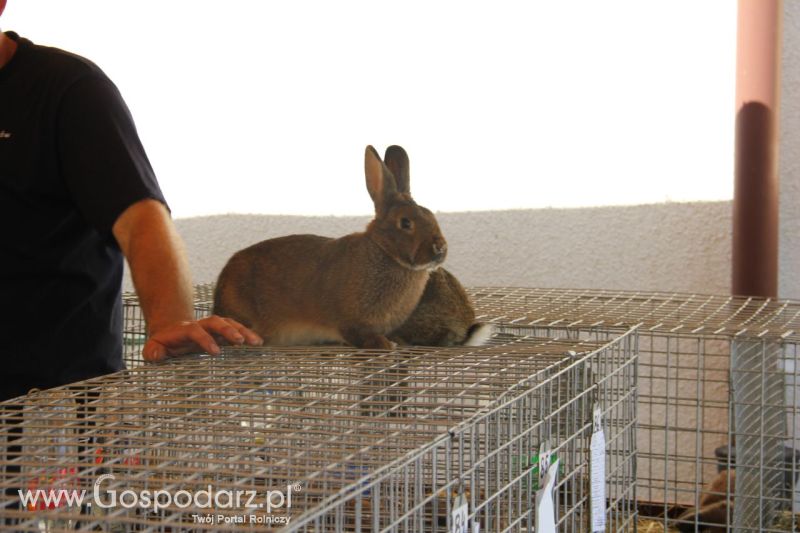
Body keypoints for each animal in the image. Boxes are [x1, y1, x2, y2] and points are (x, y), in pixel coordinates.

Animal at [212, 144, 446, 350]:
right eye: (405, 223)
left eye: (431, 216)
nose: (440, 248)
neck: (384, 251)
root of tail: (218, 300)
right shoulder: (351, 322)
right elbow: (359, 335)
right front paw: (383, 344)